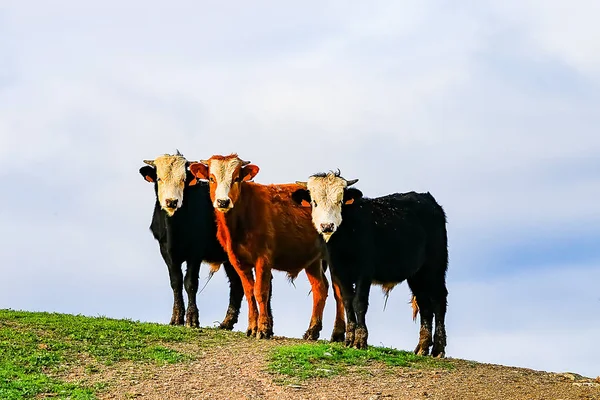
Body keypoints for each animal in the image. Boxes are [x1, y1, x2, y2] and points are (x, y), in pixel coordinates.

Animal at [139, 152, 270, 330]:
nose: (172, 201)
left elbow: (190, 283)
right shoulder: (166, 252)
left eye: (184, 179)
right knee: (237, 284)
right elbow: (176, 282)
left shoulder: (195, 253)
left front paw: (192, 319)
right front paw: (176, 318)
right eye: (159, 178)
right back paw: (227, 323)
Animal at [189, 153, 346, 340]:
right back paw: (312, 331)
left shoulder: (263, 258)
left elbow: (261, 291)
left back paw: (338, 333)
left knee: (339, 291)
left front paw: (263, 329)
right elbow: (249, 292)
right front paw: (252, 327)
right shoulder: (237, 260)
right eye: (212, 179)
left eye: (236, 178)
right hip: (313, 261)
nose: (223, 202)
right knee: (320, 288)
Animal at [292, 170, 448, 358]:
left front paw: (360, 340)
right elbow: (347, 300)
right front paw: (349, 339)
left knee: (439, 299)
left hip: (435, 266)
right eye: (314, 202)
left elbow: (359, 302)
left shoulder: (364, 272)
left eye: (340, 201)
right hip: (417, 274)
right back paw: (422, 347)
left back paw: (438, 348)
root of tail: (428, 199)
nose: (327, 226)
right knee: (425, 304)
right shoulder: (339, 271)